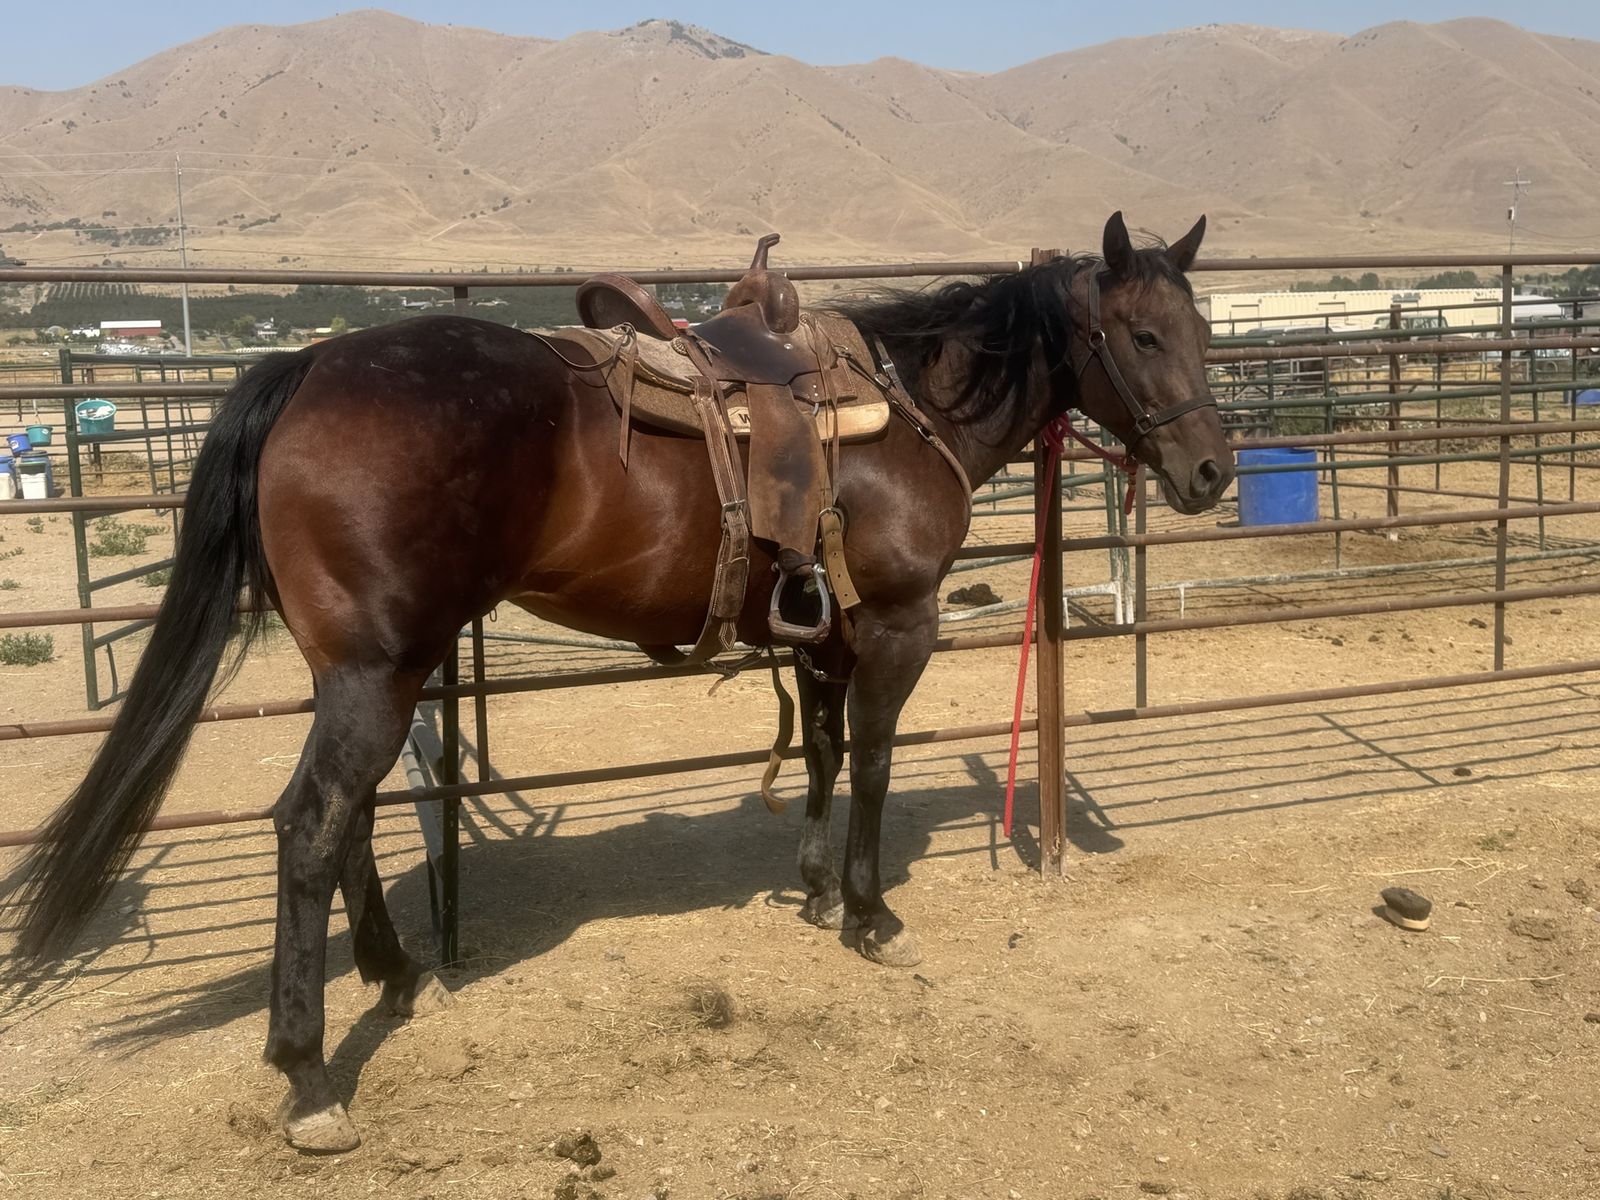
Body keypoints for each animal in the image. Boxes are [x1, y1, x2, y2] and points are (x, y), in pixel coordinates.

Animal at [4, 212, 1233, 1152]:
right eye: (1138, 333)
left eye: (1203, 329)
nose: (1212, 471)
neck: (903, 411)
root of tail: (308, 365)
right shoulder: (895, 626)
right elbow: (878, 762)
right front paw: (872, 913)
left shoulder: (822, 634)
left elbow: (824, 751)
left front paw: (814, 887)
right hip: (377, 671)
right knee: (310, 825)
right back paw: (308, 1079)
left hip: (365, 670)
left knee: (345, 818)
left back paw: (394, 974)